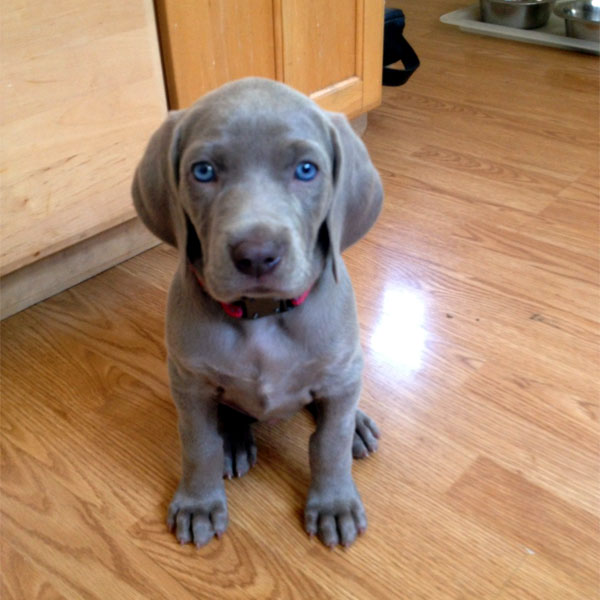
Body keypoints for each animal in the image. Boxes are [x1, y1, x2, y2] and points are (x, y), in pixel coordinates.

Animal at [133, 76, 382, 548]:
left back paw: (358, 425)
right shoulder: (189, 382)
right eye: (203, 171)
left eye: (307, 170)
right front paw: (199, 502)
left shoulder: (339, 370)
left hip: (348, 370)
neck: (262, 317)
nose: (256, 255)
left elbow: (329, 442)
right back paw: (233, 439)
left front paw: (334, 503)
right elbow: (198, 445)